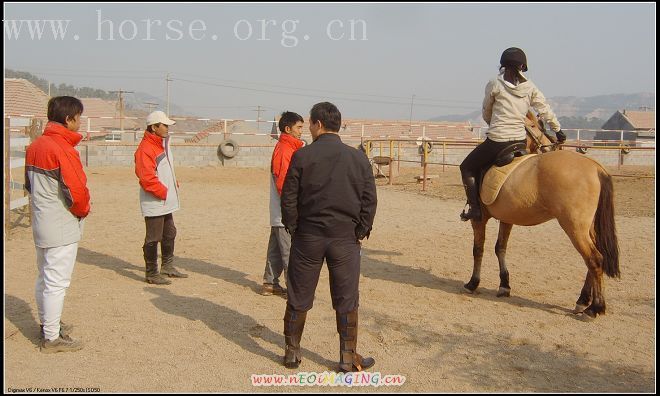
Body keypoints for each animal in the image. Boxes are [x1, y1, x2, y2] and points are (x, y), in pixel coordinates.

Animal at [462, 112, 620, 318]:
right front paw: (504, 285)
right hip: (588, 227)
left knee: (594, 259)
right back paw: (583, 301)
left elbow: (478, 249)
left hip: (574, 226)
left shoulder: (479, 219)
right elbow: (500, 248)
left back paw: (595, 308)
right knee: (593, 259)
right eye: (536, 125)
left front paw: (473, 283)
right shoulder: (507, 218)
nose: (550, 143)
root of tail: (595, 167)